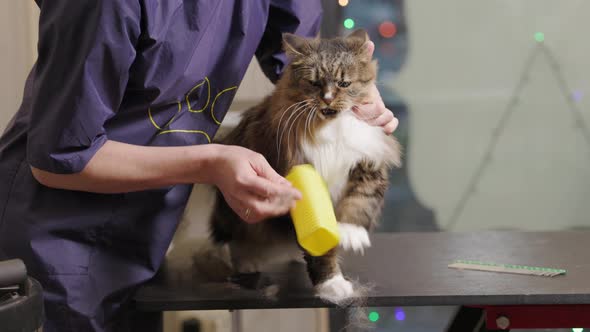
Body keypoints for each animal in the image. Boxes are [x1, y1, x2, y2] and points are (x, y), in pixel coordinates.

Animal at [208, 28, 402, 304]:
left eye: (344, 84)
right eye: (315, 83)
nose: (328, 99)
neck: (332, 129)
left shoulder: (367, 165)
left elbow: (360, 203)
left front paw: (351, 233)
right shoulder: (304, 186)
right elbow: (321, 247)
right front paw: (332, 285)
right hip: (237, 217)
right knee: (231, 239)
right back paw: (247, 262)